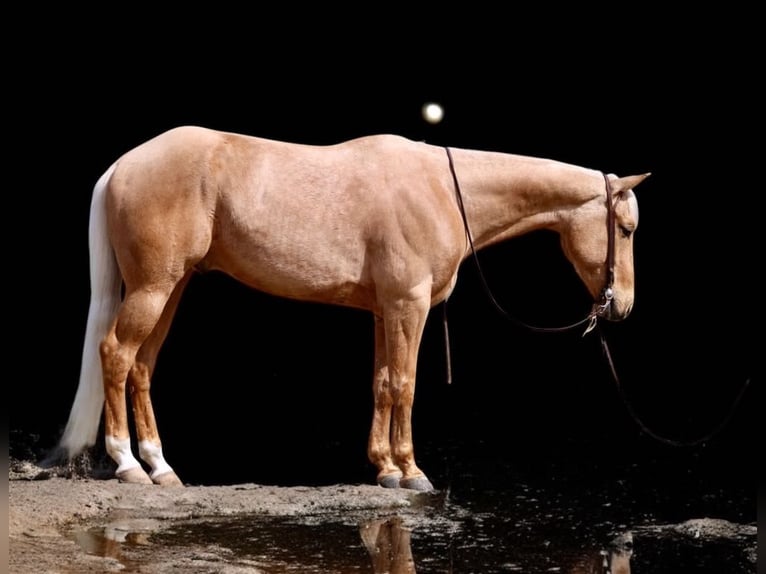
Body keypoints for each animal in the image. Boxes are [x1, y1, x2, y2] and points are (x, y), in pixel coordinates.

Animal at [55, 125, 649, 491]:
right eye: (625, 228)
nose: (621, 308)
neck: (441, 188)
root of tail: (123, 165)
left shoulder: (386, 311)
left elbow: (382, 383)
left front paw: (384, 468)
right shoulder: (409, 305)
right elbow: (406, 384)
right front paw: (410, 471)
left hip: (171, 289)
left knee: (141, 367)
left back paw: (161, 467)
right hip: (153, 288)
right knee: (115, 355)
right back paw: (128, 464)